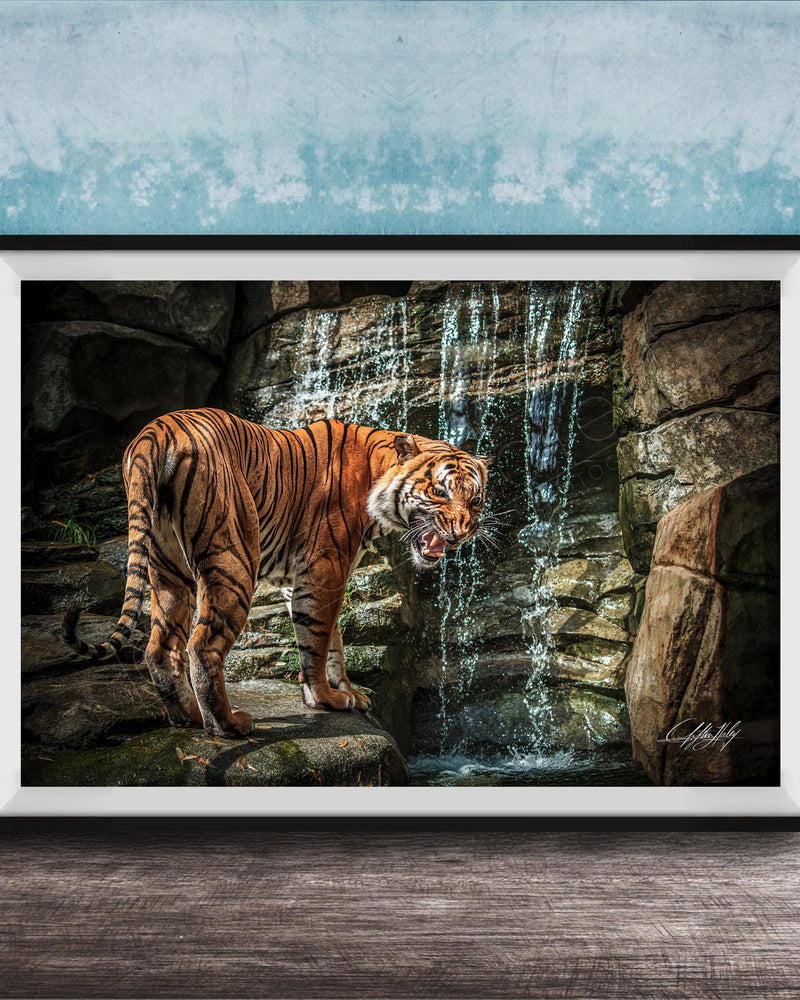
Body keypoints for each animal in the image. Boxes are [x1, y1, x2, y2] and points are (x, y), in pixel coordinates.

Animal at [63, 407, 491, 739]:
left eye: (476, 499)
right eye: (439, 492)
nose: (463, 531)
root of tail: (157, 430)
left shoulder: (308, 579)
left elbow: (333, 639)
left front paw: (346, 692)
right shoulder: (324, 571)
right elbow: (317, 640)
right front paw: (325, 699)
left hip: (166, 566)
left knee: (161, 647)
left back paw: (187, 718)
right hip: (233, 559)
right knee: (201, 644)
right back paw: (227, 724)